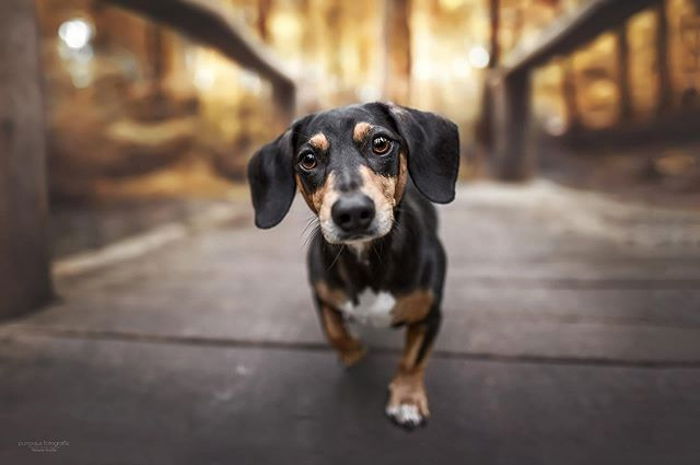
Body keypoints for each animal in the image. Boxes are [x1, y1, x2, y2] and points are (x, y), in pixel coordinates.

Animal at [246, 101, 460, 428]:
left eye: (380, 143)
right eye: (308, 159)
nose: (353, 212)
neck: (367, 261)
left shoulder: (429, 316)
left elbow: (413, 360)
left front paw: (407, 399)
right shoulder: (322, 296)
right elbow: (335, 332)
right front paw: (353, 351)